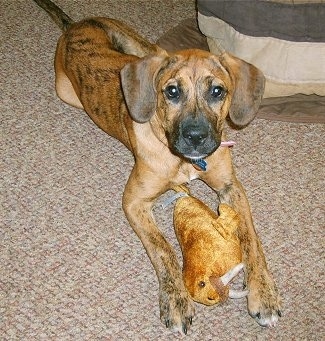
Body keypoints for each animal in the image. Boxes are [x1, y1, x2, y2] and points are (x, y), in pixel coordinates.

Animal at [33, 0, 280, 332]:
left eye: (217, 91)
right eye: (172, 91)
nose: (196, 138)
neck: (182, 160)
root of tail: (75, 25)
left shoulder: (231, 188)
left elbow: (252, 241)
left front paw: (263, 293)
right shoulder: (134, 201)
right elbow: (163, 248)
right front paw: (175, 300)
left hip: (144, 47)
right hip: (69, 90)